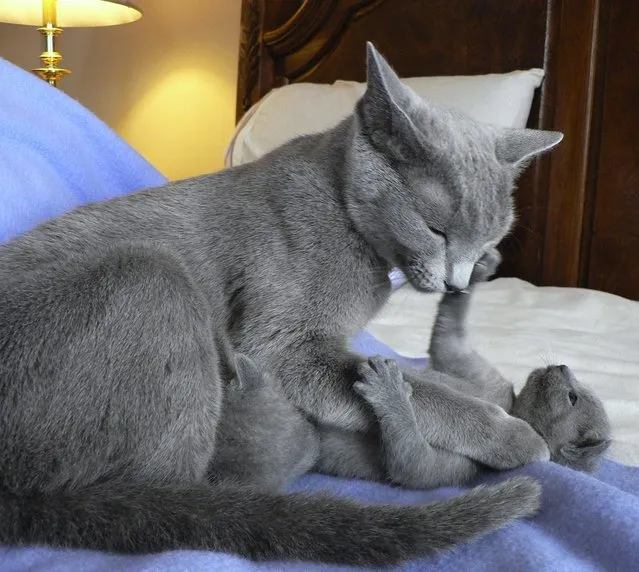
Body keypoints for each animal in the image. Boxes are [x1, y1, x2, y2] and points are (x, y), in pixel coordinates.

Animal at [0, 42, 564, 564]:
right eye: (436, 230)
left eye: (492, 236)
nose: (456, 282)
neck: (344, 212)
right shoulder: (281, 345)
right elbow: (427, 392)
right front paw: (514, 435)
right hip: (153, 277)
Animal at [358, 250, 612, 488]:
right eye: (578, 387)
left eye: (573, 397)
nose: (562, 365)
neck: (510, 407)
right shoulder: (479, 372)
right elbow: (448, 337)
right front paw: (479, 269)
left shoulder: (467, 467)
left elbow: (414, 464)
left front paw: (389, 391)